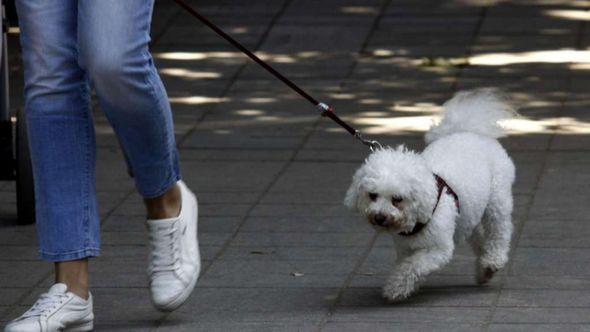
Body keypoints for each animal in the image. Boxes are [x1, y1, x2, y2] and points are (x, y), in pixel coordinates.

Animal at [346, 89, 520, 302]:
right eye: (372, 195)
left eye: (397, 199)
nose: (379, 217)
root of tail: (468, 130)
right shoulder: (406, 248)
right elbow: (406, 265)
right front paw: (405, 287)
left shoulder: (438, 249)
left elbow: (412, 267)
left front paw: (395, 288)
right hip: (468, 215)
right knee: (478, 235)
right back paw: (483, 269)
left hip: (497, 198)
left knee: (500, 230)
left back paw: (492, 260)